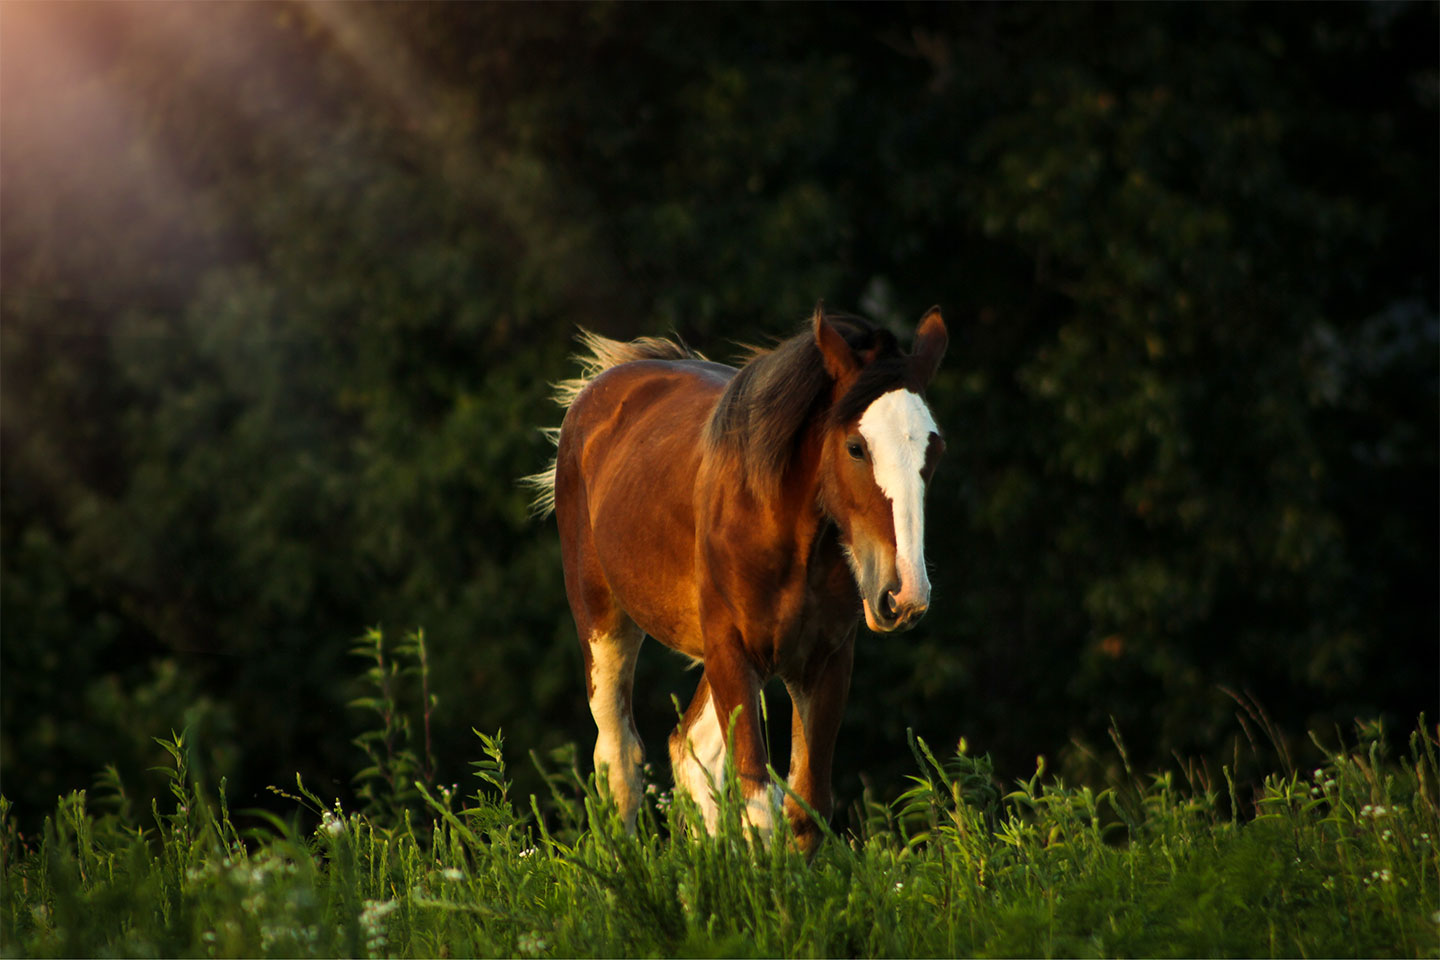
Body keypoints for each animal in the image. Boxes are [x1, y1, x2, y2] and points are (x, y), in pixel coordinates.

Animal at [525, 303, 946, 853]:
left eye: (934, 451)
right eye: (856, 447)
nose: (903, 594)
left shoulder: (824, 663)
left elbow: (806, 809)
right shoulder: (733, 649)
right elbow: (758, 806)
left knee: (690, 748)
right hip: (603, 623)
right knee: (619, 761)